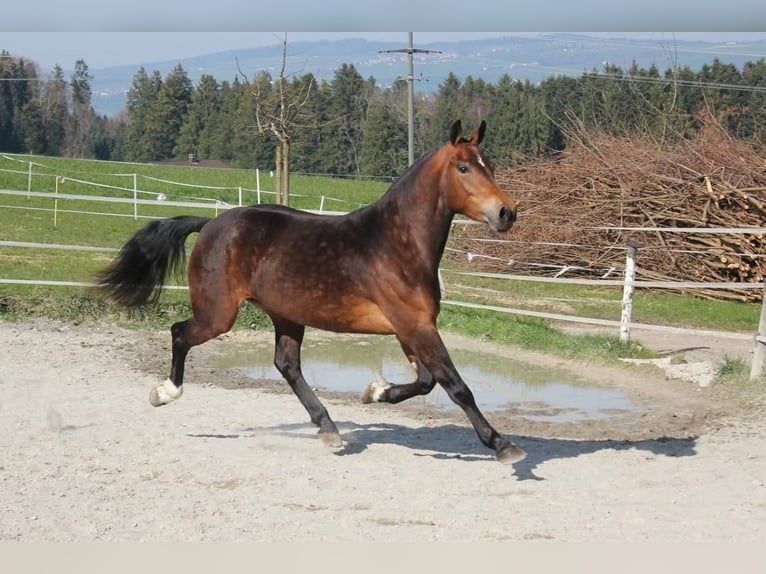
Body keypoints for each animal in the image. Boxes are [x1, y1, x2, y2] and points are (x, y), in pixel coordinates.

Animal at [95, 120, 526, 464]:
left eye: (490, 166)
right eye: (464, 167)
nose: (506, 213)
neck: (395, 244)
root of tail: (211, 224)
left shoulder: (410, 328)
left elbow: (425, 382)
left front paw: (375, 392)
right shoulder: (415, 326)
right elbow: (456, 386)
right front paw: (503, 445)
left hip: (286, 315)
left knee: (287, 366)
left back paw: (329, 428)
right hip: (217, 314)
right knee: (180, 333)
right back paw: (165, 392)